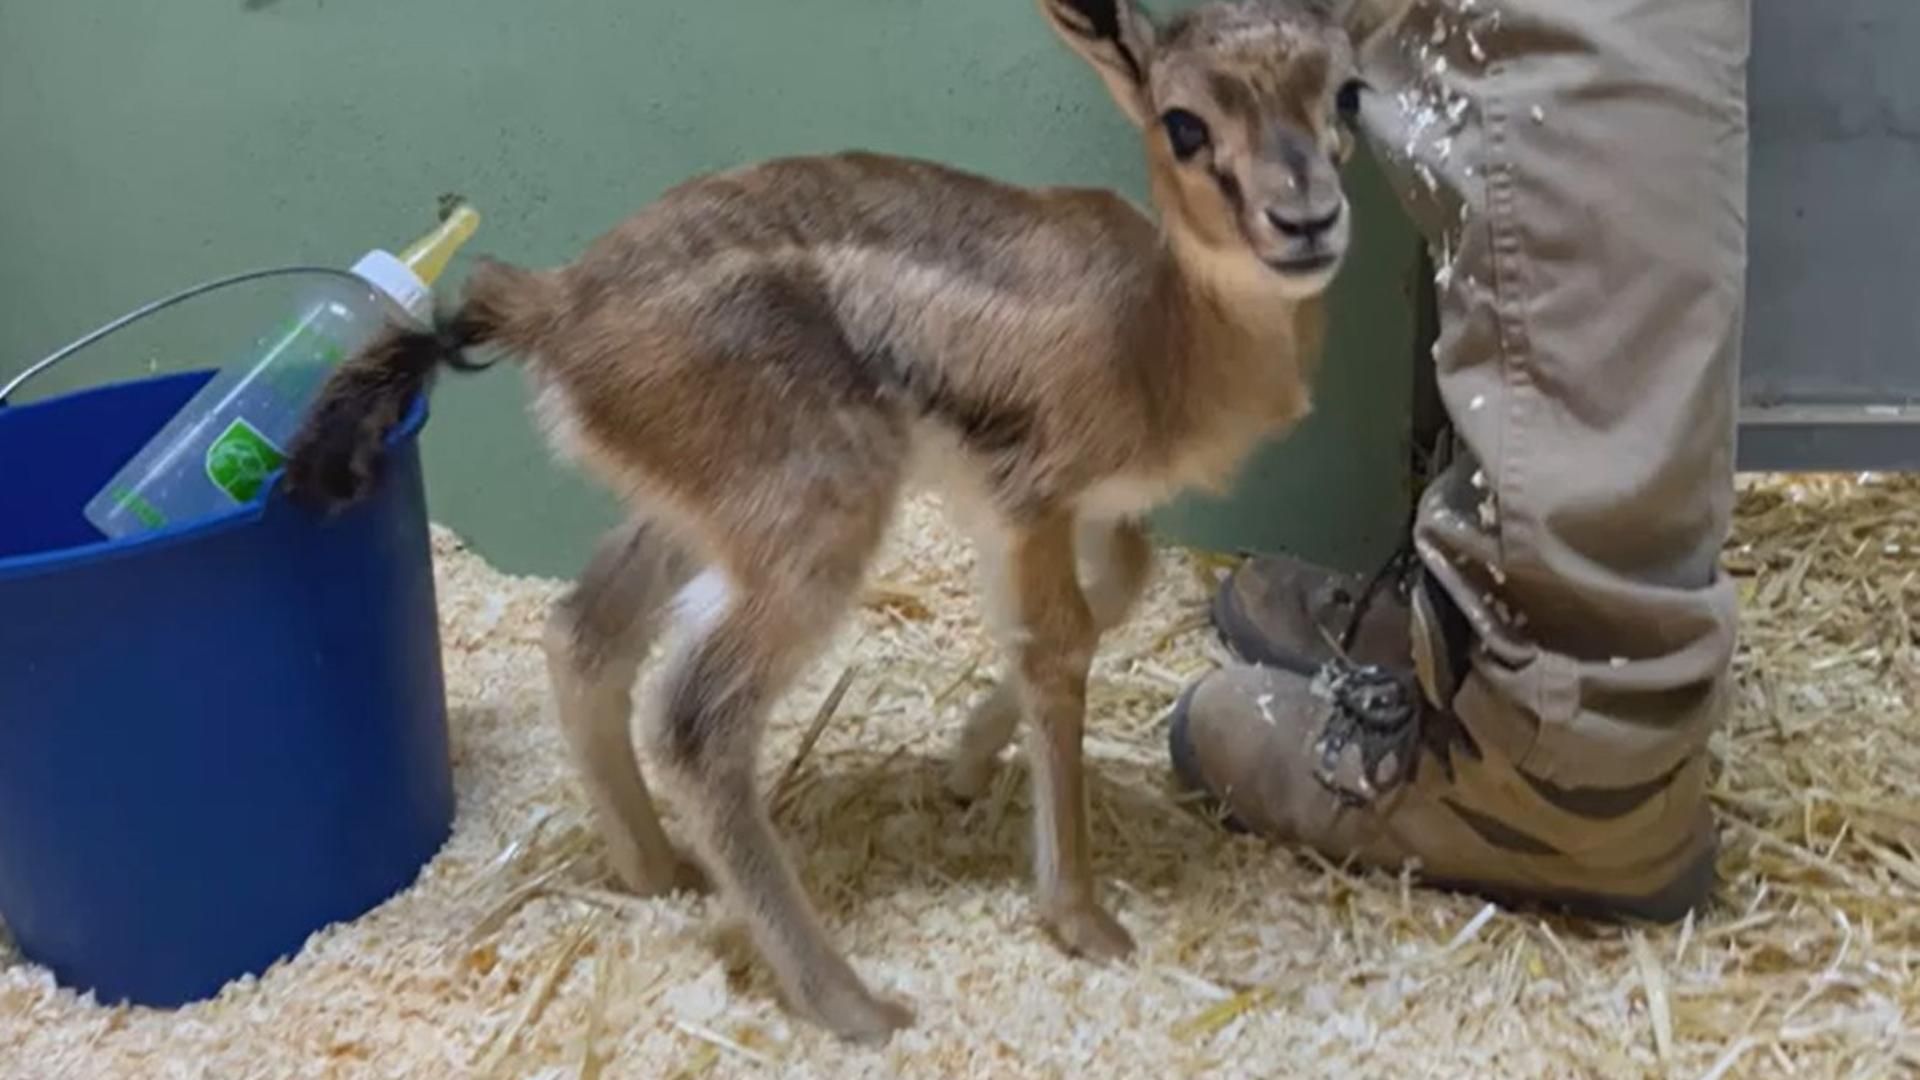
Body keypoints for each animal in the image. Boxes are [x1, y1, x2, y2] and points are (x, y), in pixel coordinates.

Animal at [286, 0, 1408, 1044]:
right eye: (1183, 122)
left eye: (1348, 94)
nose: (1307, 220)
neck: (1165, 332)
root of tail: (553, 307)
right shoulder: (1033, 496)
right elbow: (1059, 648)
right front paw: (1084, 921)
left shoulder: (1087, 507)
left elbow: (1116, 590)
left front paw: (965, 766)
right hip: (815, 519)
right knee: (694, 717)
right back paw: (855, 1004)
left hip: (701, 516)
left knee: (583, 633)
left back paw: (659, 869)